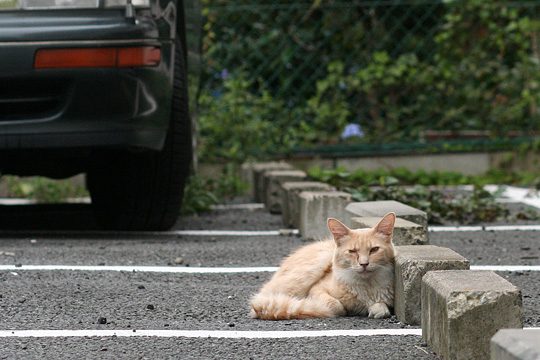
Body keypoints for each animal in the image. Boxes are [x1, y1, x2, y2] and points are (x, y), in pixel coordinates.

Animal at [250, 212, 396, 320]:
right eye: (352, 251)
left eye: (374, 250)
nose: (364, 264)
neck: (366, 286)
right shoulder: (317, 289)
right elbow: (337, 306)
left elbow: (381, 308)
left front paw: (376, 309)